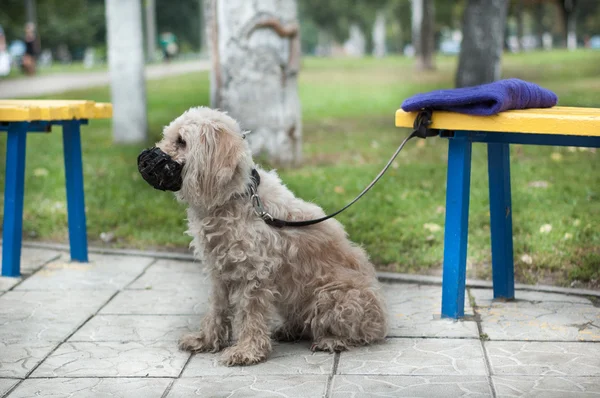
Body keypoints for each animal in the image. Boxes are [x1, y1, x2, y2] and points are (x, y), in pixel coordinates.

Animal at [137, 106, 390, 366]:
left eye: (181, 141)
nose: (143, 159)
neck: (233, 197)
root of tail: (381, 320)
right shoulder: (219, 273)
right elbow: (216, 309)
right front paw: (206, 340)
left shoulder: (254, 275)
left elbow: (250, 315)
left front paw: (247, 351)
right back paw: (290, 330)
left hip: (330, 296)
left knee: (356, 333)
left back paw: (332, 340)